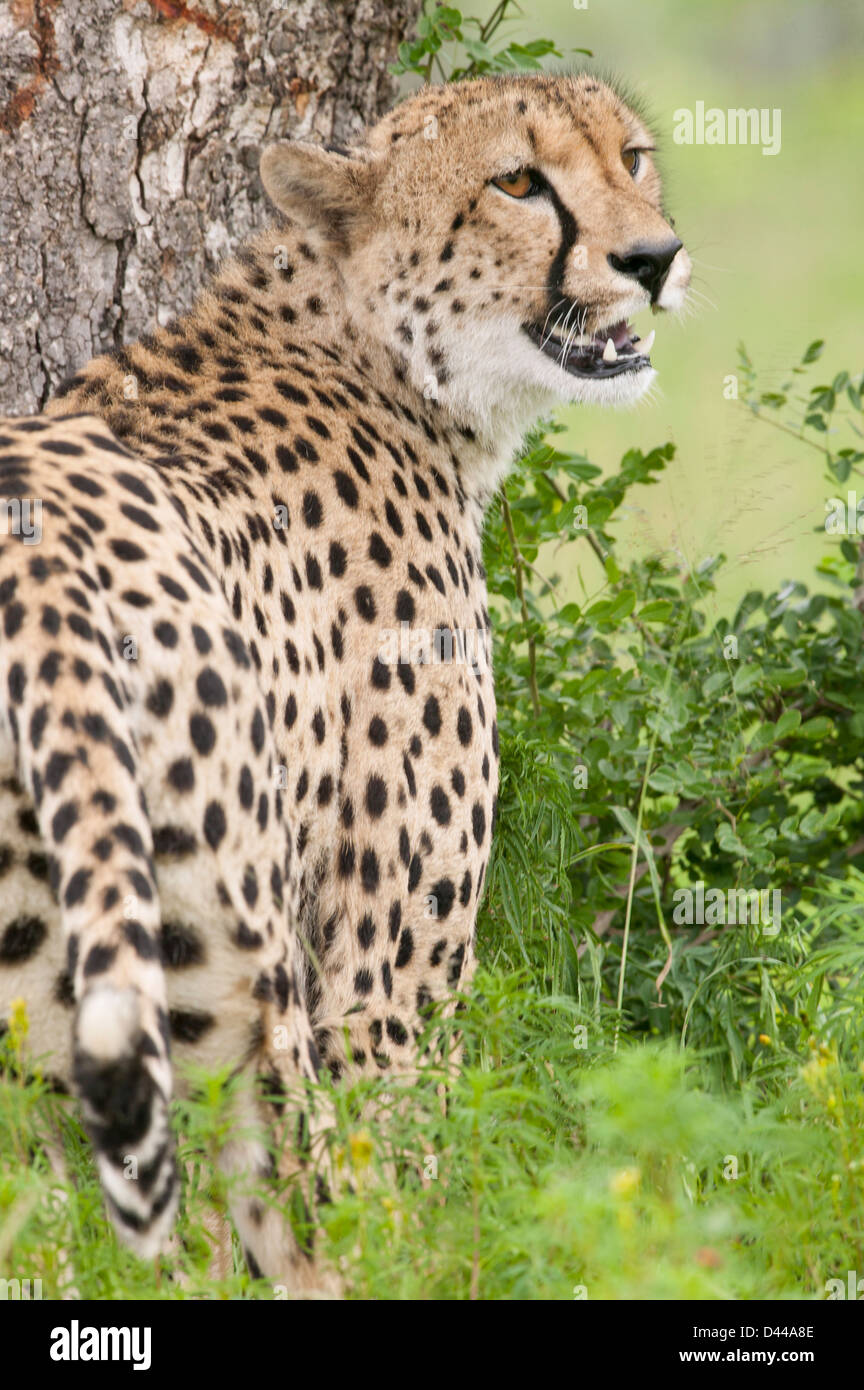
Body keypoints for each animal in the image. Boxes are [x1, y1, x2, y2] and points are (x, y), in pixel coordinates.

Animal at [0, 70, 691, 1284]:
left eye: (634, 157)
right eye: (519, 182)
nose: (655, 259)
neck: (374, 352)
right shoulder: (387, 963)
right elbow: (409, 1168)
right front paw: (446, 1260)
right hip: (227, 964)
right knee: (274, 1208)